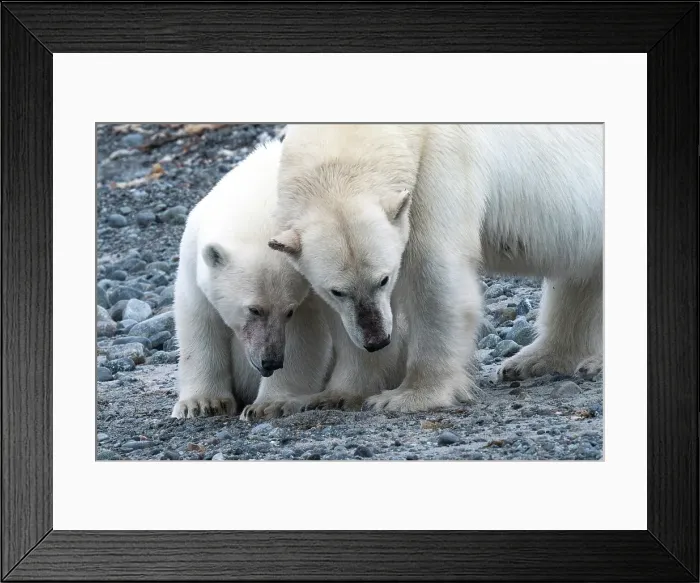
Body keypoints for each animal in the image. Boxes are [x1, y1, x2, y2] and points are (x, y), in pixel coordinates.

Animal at [171, 139, 334, 420]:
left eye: (289, 311)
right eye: (254, 309)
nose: (271, 361)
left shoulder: (311, 284)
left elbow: (306, 333)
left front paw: (269, 405)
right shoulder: (193, 258)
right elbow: (200, 319)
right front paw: (201, 403)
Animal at [268, 124, 603, 413]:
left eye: (384, 279)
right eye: (337, 291)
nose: (377, 340)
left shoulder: (442, 163)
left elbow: (433, 271)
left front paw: (407, 396)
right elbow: (340, 321)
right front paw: (336, 395)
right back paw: (533, 361)